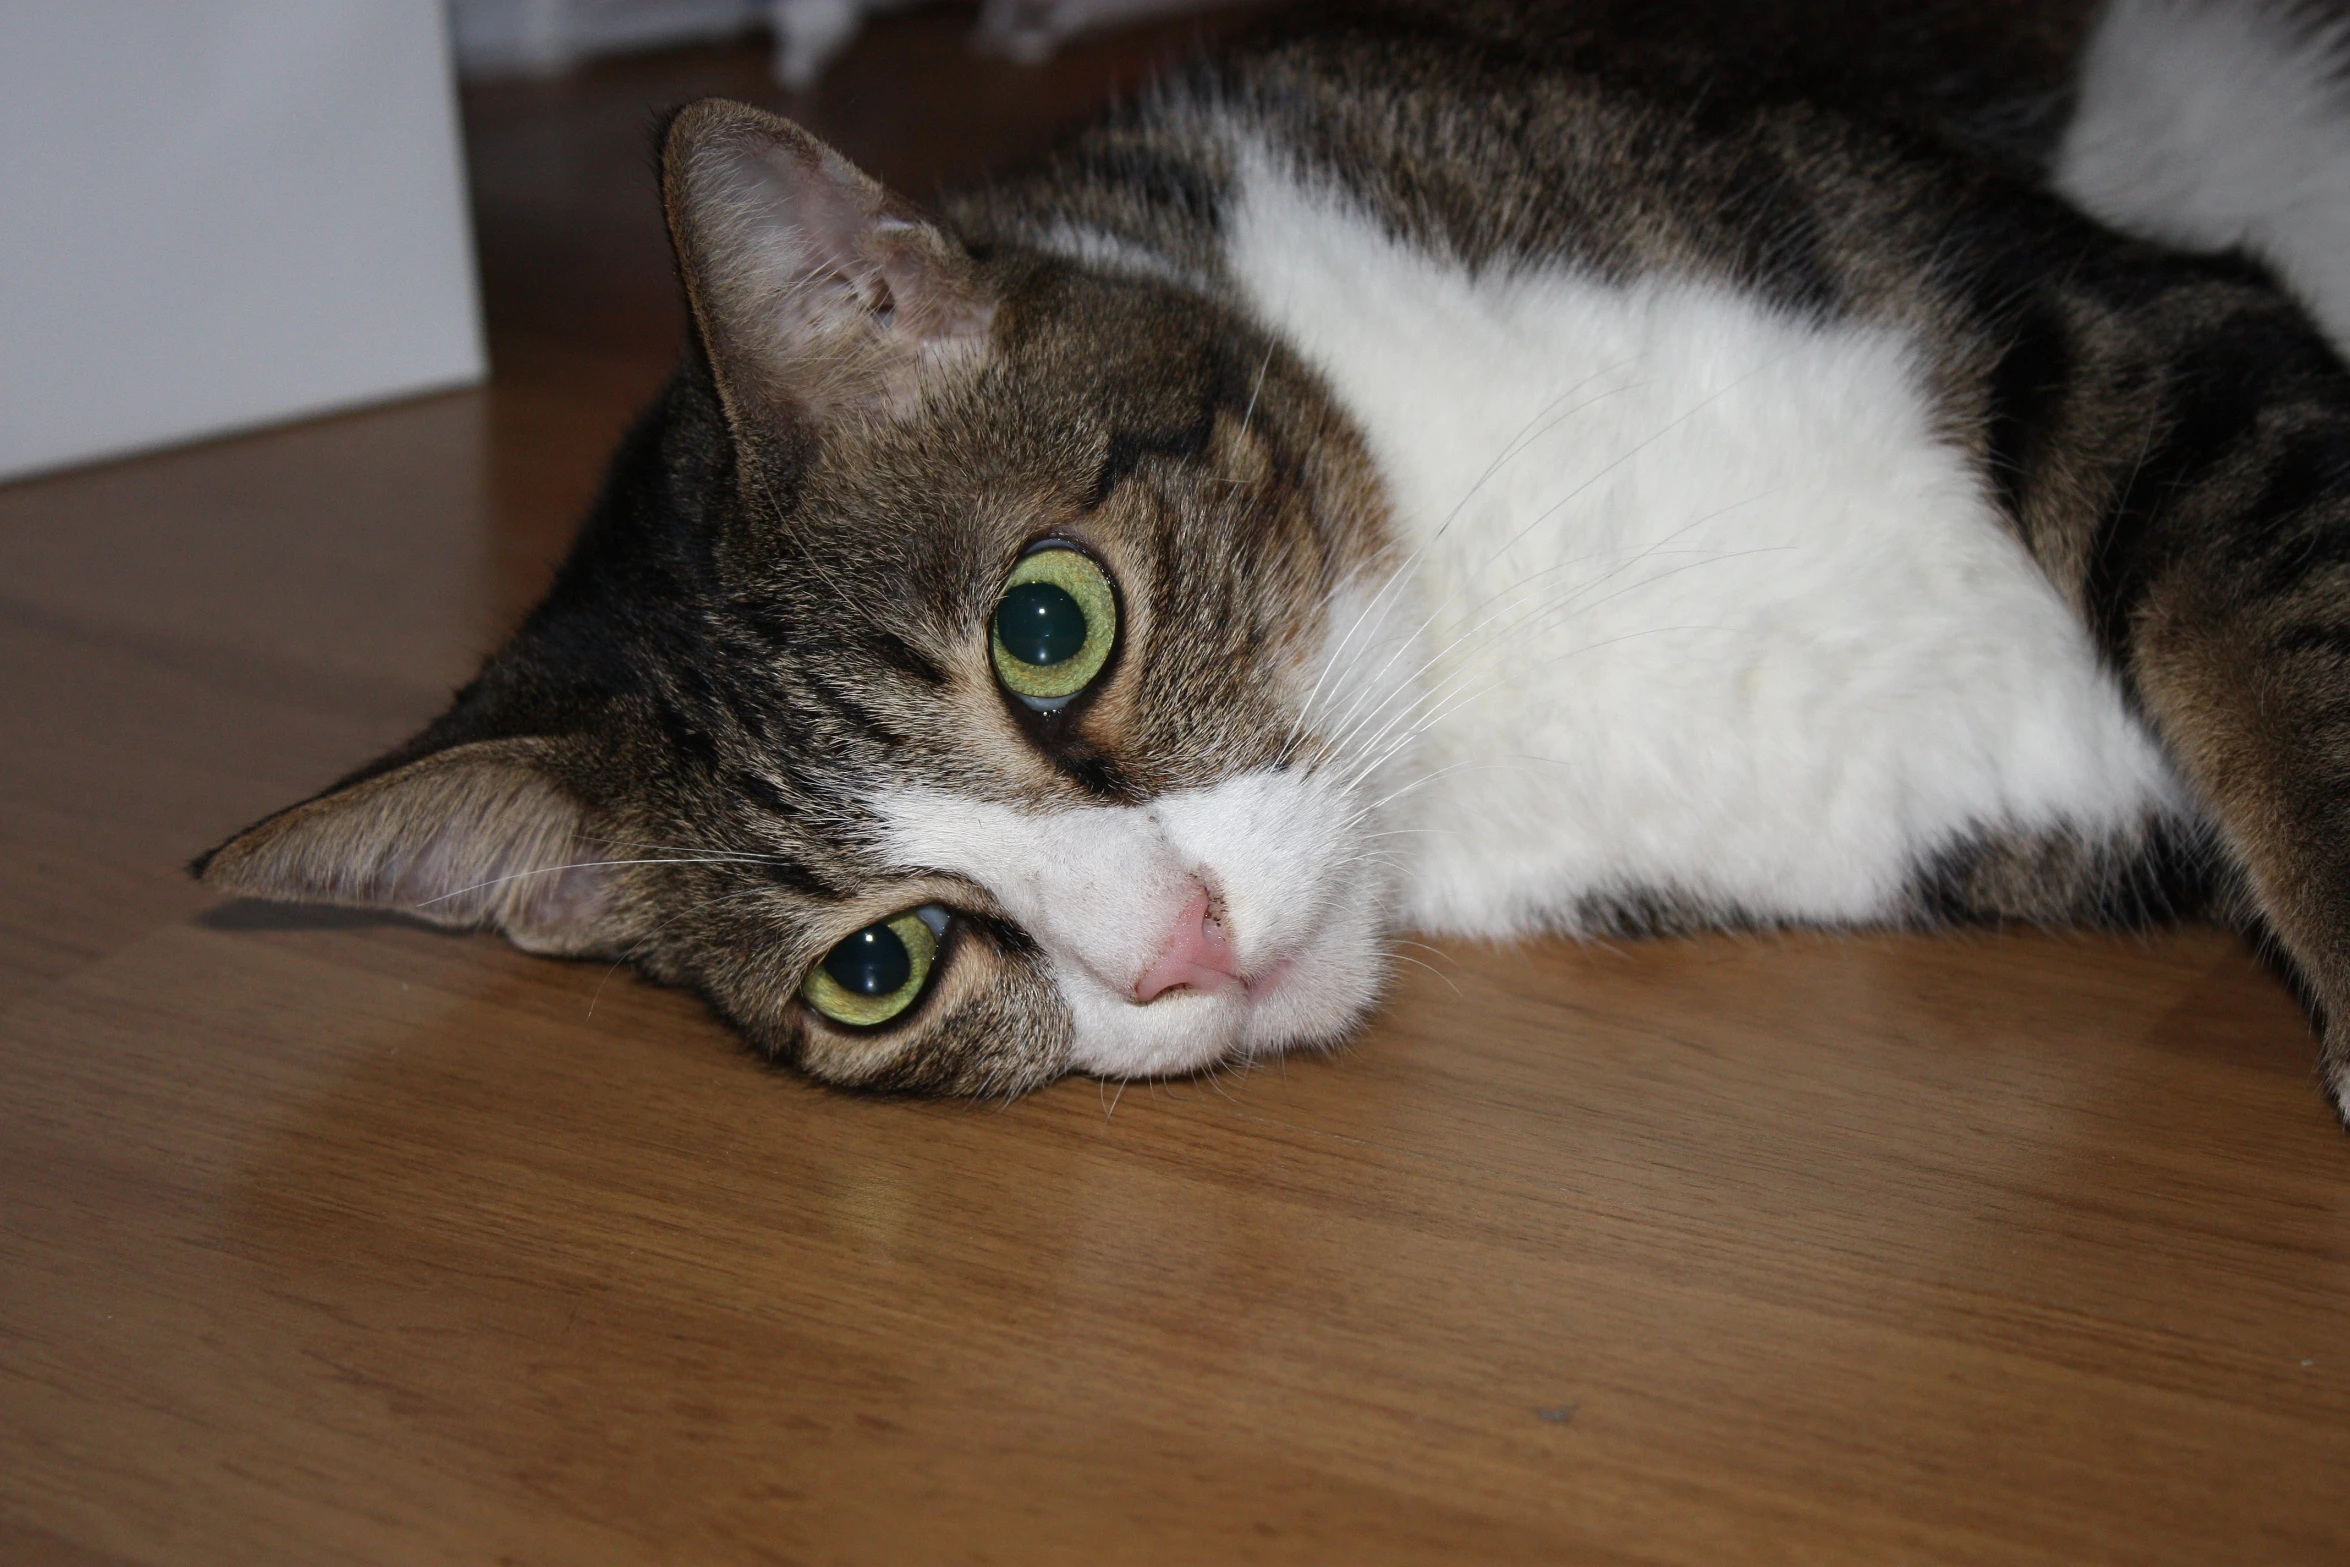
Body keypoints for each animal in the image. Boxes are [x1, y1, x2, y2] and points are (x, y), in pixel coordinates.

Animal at [188, 0, 2350, 1113]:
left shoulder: (2099, 316)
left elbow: (2274, 664)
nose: (1183, 952)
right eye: (881, 965)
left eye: (1047, 626)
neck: (1482, 622)